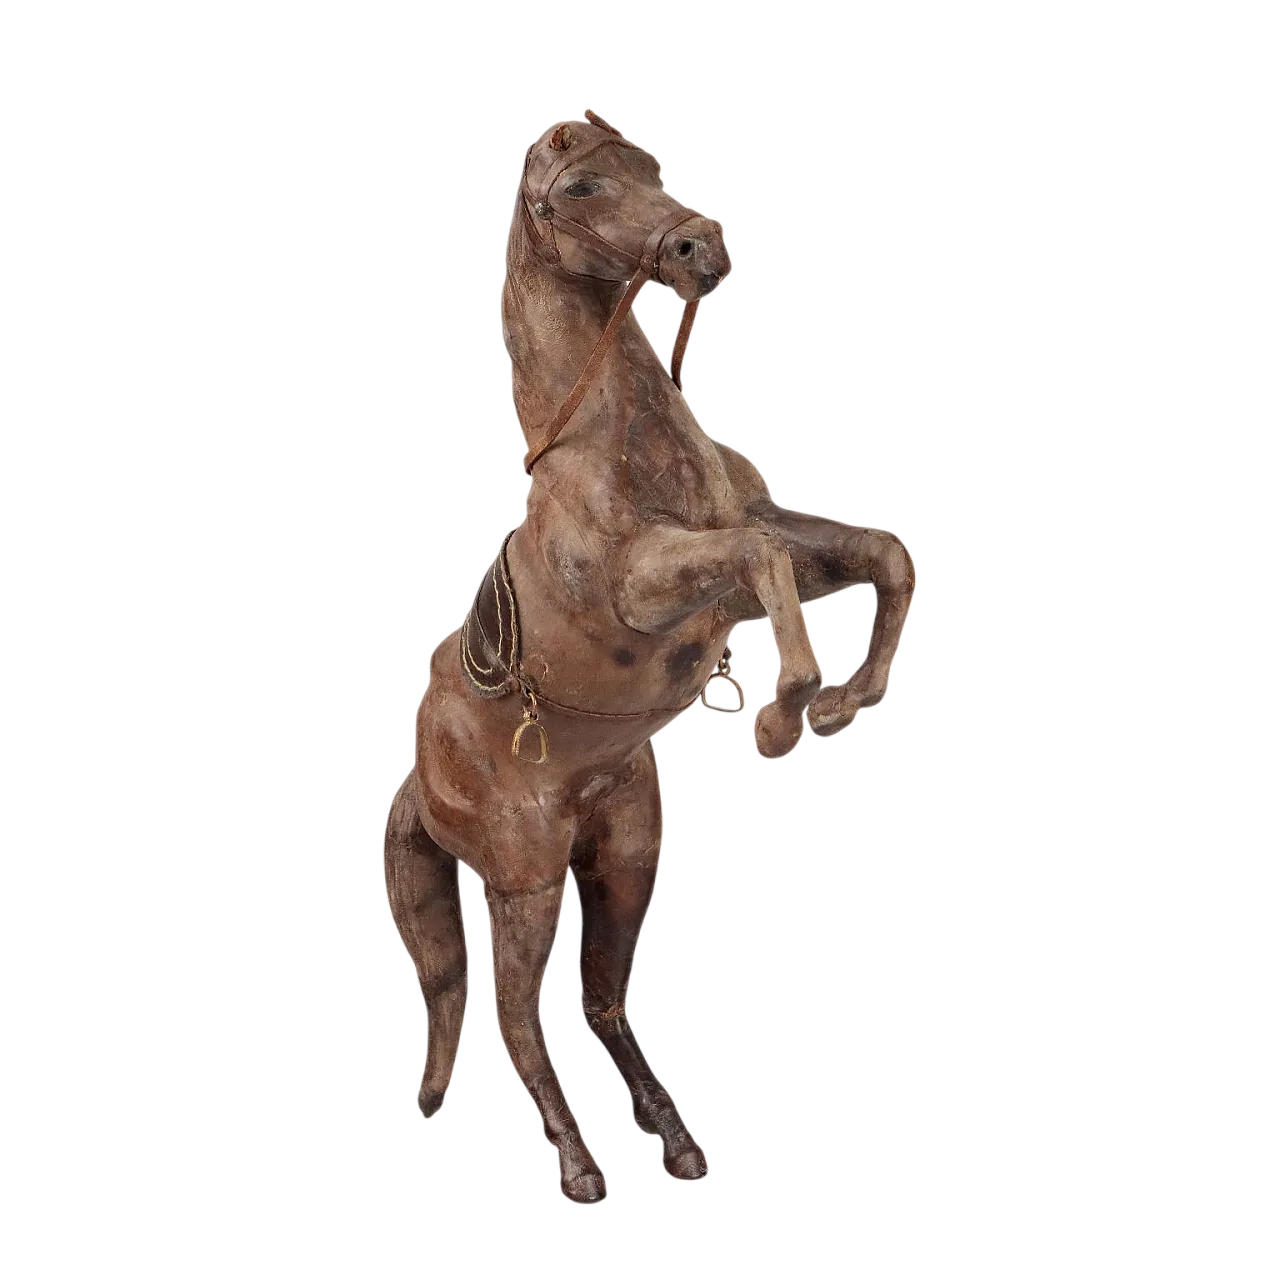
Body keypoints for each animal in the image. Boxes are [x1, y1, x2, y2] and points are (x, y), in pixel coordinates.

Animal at [382, 108, 918, 1204]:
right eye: (582, 191)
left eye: (651, 167)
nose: (699, 247)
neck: (610, 448)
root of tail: (419, 778)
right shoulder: (651, 582)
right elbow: (760, 560)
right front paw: (786, 712)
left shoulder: (764, 541)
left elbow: (877, 551)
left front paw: (847, 698)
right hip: (526, 878)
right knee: (516, 1019)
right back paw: (581, 1169)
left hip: (625, 850)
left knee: (602, 1005)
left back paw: (678, 1146)